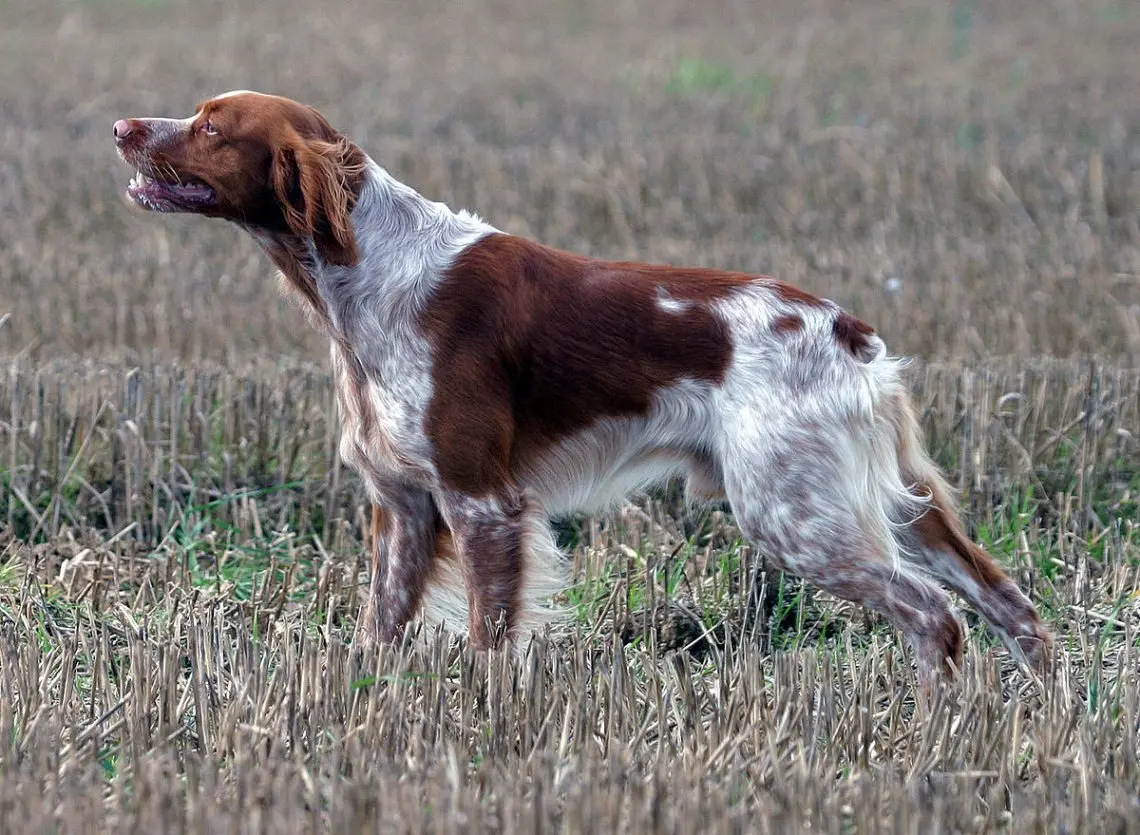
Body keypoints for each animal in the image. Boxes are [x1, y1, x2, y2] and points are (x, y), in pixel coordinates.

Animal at [111, 91, 1053, 679]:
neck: (367, 274)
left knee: (935, 616)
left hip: (796, 514)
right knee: (1010, 603)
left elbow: (490, 637)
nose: (122, 125)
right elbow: (379, 629)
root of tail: (848, 331)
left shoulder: (483, 500)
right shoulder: (403, 506)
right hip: (893, 505)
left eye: (211, 126)